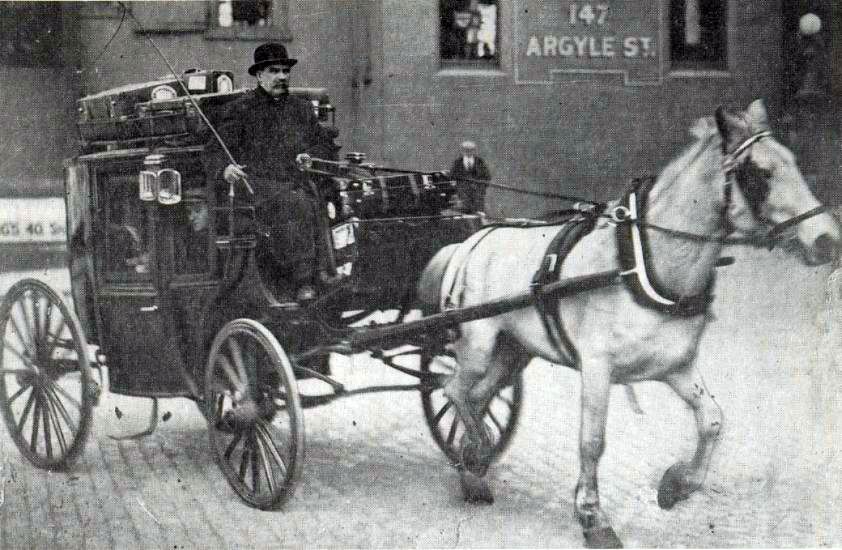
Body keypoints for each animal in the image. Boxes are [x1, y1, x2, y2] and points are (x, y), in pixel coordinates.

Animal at [426, 101, 840, 548]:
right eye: (761, 173)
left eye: (793, 163)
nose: (828, 240)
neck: (638, 265)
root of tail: (472, 241)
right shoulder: (597, 367)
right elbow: (592, 442)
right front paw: (593, 517)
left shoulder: (677, 366)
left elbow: (712, 419)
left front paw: (677, 485)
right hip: (478, 343)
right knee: (455, 390)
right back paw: (477, 458)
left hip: (514, 350)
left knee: (476, 397)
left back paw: (472, 465)